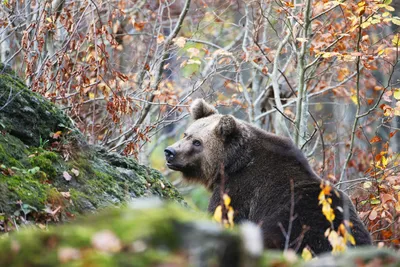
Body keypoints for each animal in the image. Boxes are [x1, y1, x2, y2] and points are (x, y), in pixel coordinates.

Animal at [164, 99, 370, 255]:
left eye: (197, 142)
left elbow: (222, 216)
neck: (232, 163)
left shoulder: (238, 191)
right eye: (186, 134)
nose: (170, 152)